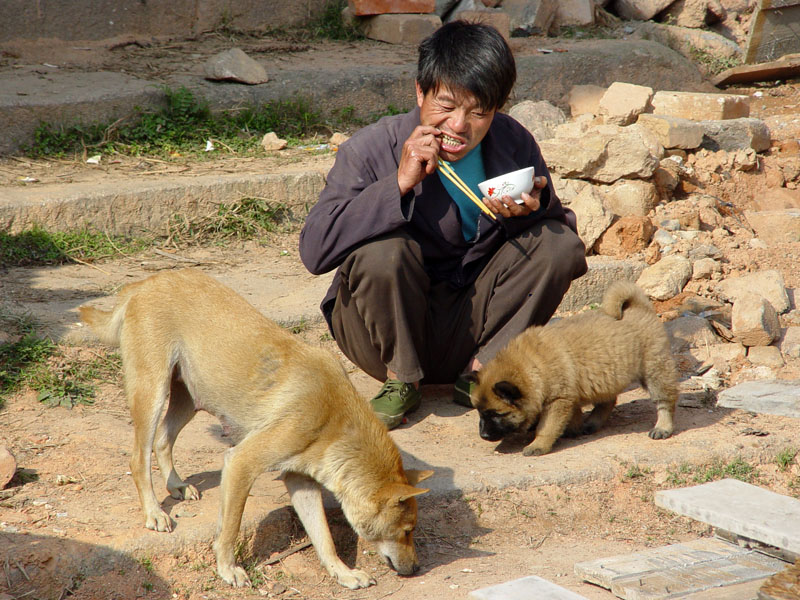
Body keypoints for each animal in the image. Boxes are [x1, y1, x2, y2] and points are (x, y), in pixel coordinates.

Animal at [76, 270, 432, 588]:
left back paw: (176, 484)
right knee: (139, 457)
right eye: (408, 530)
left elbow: (324, 539)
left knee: (163, 440)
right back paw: (154, 512)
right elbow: (230, 529)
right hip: (153, 393)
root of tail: (142, 283)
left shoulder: (300, 481)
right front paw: (227, 568)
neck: (335, 420)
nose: (416, 568)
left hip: (190, 398)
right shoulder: (241, 464)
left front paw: (342, 573)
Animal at [466, 282, 680, 454]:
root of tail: (640, 307)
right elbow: (572, 414)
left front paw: (538, 445)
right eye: (480, 412)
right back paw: (592, 423)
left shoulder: (558, 400)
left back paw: (663, 427)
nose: (483, 435)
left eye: (496, 414)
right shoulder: (570, 395)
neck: (531, 367)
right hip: (606, 376)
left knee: (664, 401)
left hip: (655, 370)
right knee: (607, 401)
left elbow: (546, 427)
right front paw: (572, 429)